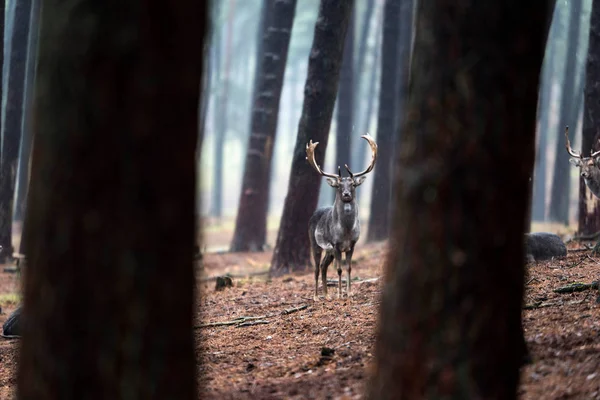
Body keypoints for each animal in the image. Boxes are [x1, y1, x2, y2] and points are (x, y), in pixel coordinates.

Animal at [308, 134, 378, 300]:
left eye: (353, 184)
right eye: (339, 185)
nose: (346, 194)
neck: (346, 231)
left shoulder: (352, 244)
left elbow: (349, 268)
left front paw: (349, 292)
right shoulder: (336, 244)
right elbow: (339, 269)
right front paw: (340, 294)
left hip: (329, 251)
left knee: (324, 266)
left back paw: (327, 295)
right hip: (315, 243)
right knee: (316, 268)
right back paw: (316, 296)